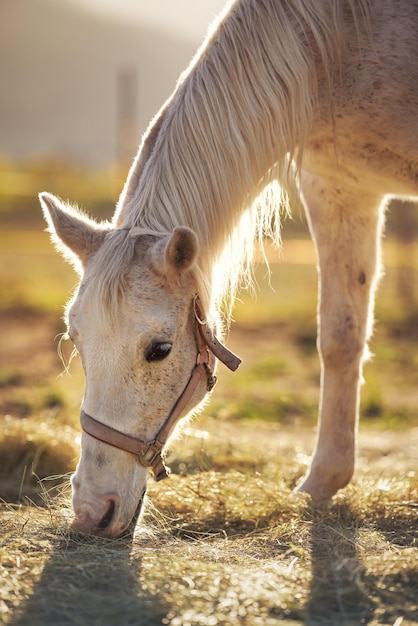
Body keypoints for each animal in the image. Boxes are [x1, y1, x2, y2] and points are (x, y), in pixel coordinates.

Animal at [40, 1, 416, 536]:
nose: (92, 511)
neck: (341, 44)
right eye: (76, 342)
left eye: (159, 350)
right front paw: (322, 481)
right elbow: (339, 337)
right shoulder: (339, 188)